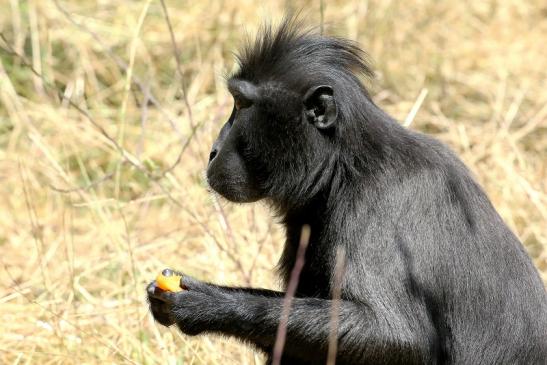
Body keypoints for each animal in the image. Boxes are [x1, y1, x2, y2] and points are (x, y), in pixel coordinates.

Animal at [148, 19, 544, 364]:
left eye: (241, 104)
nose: (213, 151)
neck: (345, 164)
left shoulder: (377, 205)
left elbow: (399, 336)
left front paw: (209, 304)